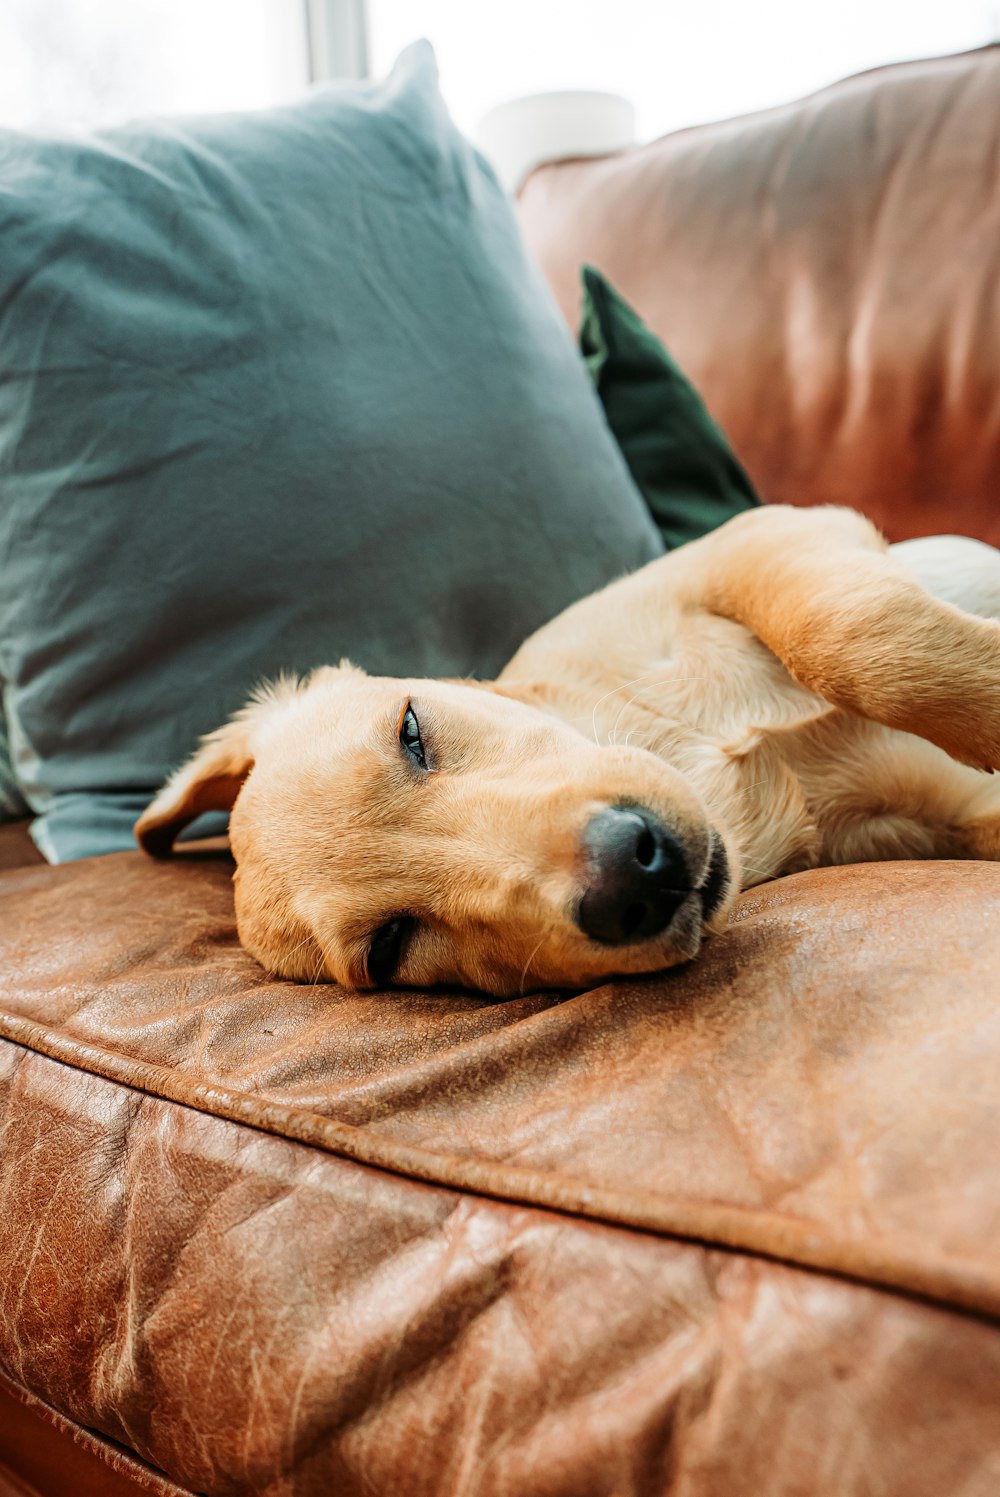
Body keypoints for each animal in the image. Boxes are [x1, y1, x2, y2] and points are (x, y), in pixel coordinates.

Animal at [136, 508, 999, 999]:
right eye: (389, 948)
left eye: (411, 731)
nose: (633, 875)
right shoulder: (936, 819)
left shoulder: (762, 535)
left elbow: (851, 631)